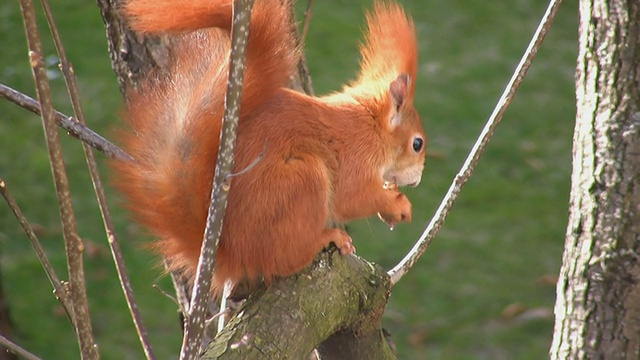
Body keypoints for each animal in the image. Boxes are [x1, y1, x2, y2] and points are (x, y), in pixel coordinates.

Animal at [112, 0, 428, 294]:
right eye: (417, 144)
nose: (417, 180)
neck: (371, 126)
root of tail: (235, 254)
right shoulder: (355, 157)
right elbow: (353, 198)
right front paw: (397, 204)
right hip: (300, 183)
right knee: (284, 261)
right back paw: (326, 238)